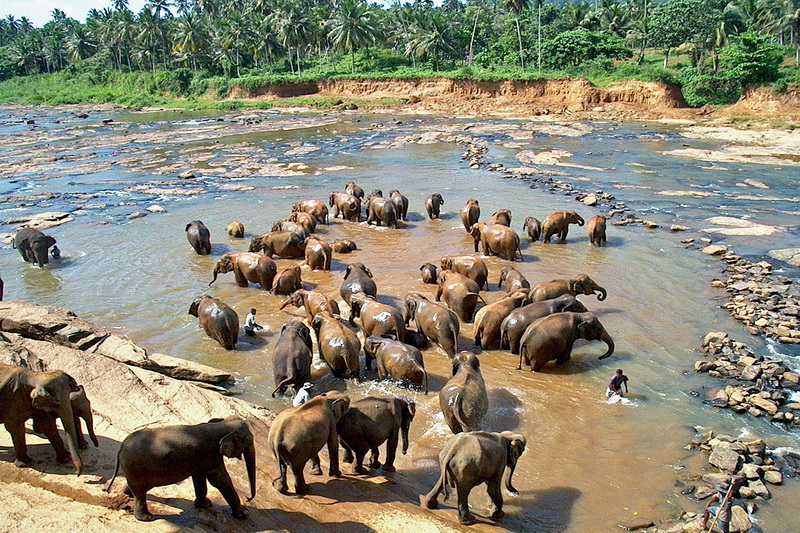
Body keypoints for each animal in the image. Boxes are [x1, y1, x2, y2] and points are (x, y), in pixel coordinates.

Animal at [107, 416, 256, 520]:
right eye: (249, 441)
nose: (248, 498)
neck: (220, 426)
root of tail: (122, 445)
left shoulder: (200, 458)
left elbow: (199, 477)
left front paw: (204, 505)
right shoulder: (209, 453)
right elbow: (219, 480)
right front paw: (244, 513)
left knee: (137, 488)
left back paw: (127, 494)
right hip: (135, 466)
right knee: (140, 491)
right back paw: (147, 517)